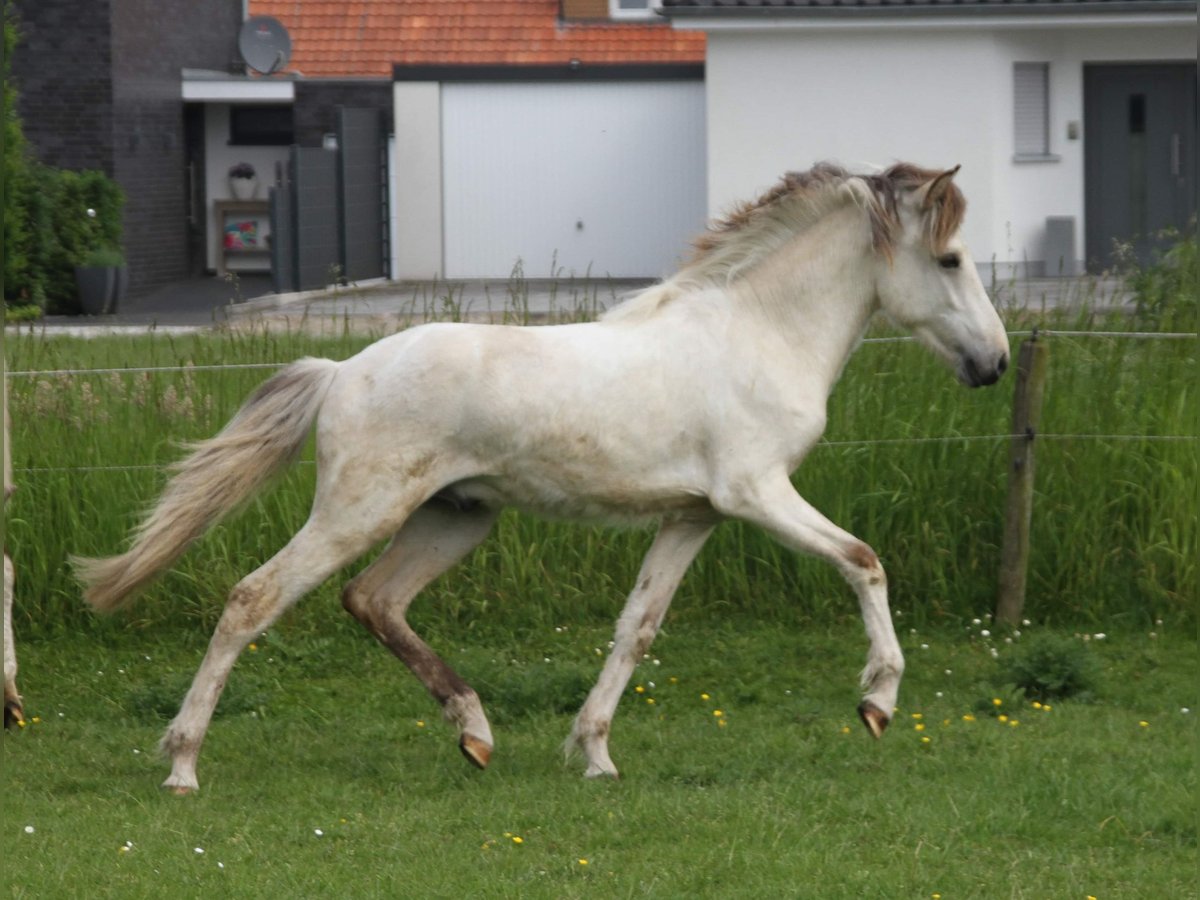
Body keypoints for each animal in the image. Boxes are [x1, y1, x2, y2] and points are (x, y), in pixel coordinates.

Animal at [75, 164, 1008, 796]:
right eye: (951, 259)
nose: (994, 363)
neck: (756, 332)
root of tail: (341, 371)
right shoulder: (758, 495)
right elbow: (864, 561)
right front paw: (878, 702)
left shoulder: (695, 516)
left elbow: (637, 629)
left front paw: (594, 754)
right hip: (360, 511)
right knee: (253, 599)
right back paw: (183, 764)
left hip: (454, 517)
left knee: (374, 600)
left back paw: (476, 733)